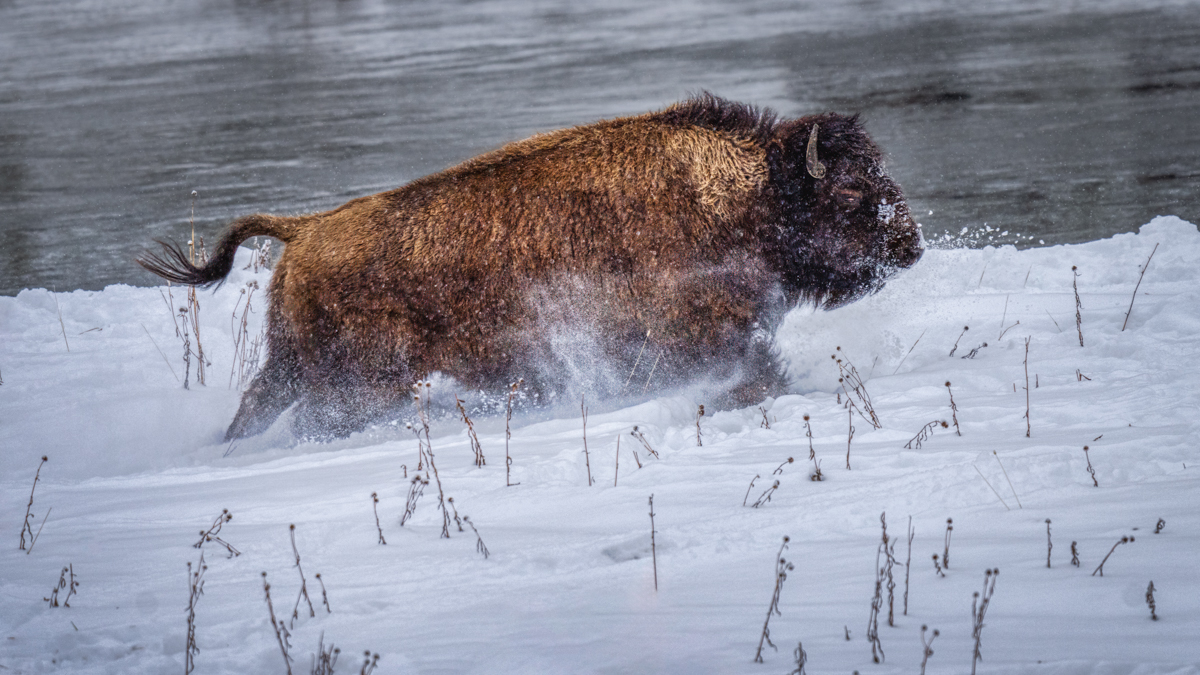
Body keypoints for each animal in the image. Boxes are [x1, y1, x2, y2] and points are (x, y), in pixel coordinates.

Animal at [140, 94, 923, 440]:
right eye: (850, 193)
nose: (911, 246)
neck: (749, 193)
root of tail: (305, 230)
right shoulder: (712, 338)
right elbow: (755, 374)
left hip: (296, 366)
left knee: (256, 407)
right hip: (355, 382)